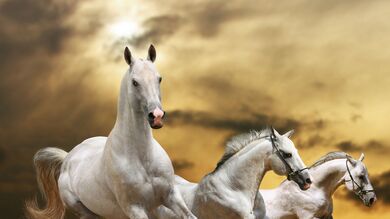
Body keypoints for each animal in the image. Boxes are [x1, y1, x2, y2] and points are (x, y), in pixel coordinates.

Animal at [27, 45, 197, 219]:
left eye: (159, 78)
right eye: (135, 82)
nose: (156, 116)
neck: (143, 160)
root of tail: (68, 158)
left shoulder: (172, 197)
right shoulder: (135, 208)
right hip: (86, 211)